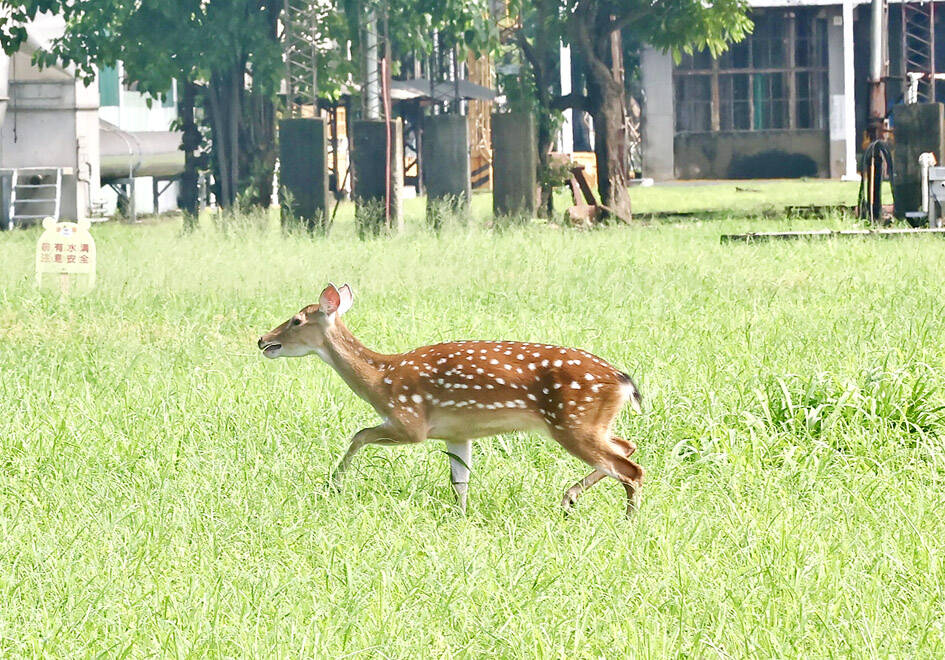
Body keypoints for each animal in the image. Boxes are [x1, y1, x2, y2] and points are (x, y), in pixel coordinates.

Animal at [257, 284, 645, 516]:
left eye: (296, 320)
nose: (262, 339)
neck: (380, 380)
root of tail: (623, 380)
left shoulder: (410, 423)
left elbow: (359, 434)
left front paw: (333, 484)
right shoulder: (458, 433)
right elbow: (460, 479)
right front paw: (461, 515)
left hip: (573, 421)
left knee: (630, 469)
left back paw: (627, 521)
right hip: (591, 423)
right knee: (628, 447)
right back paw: (570, 498)